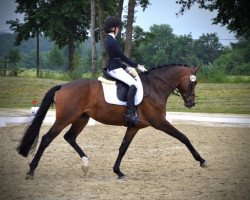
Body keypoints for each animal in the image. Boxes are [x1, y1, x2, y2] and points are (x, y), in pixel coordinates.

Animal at [17, 63, 208, 179]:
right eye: (194, 83)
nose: (191, 103)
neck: (155, 87)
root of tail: (63, 86)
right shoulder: (159, 122)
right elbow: (183, 137)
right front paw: (201, 160)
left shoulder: (134, 127)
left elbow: (123, 148)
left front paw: (118, 171)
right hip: (65, 118)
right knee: (47, 139)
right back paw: (31, 170)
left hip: (81, 118)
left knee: (69, 137)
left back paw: (85, 164)